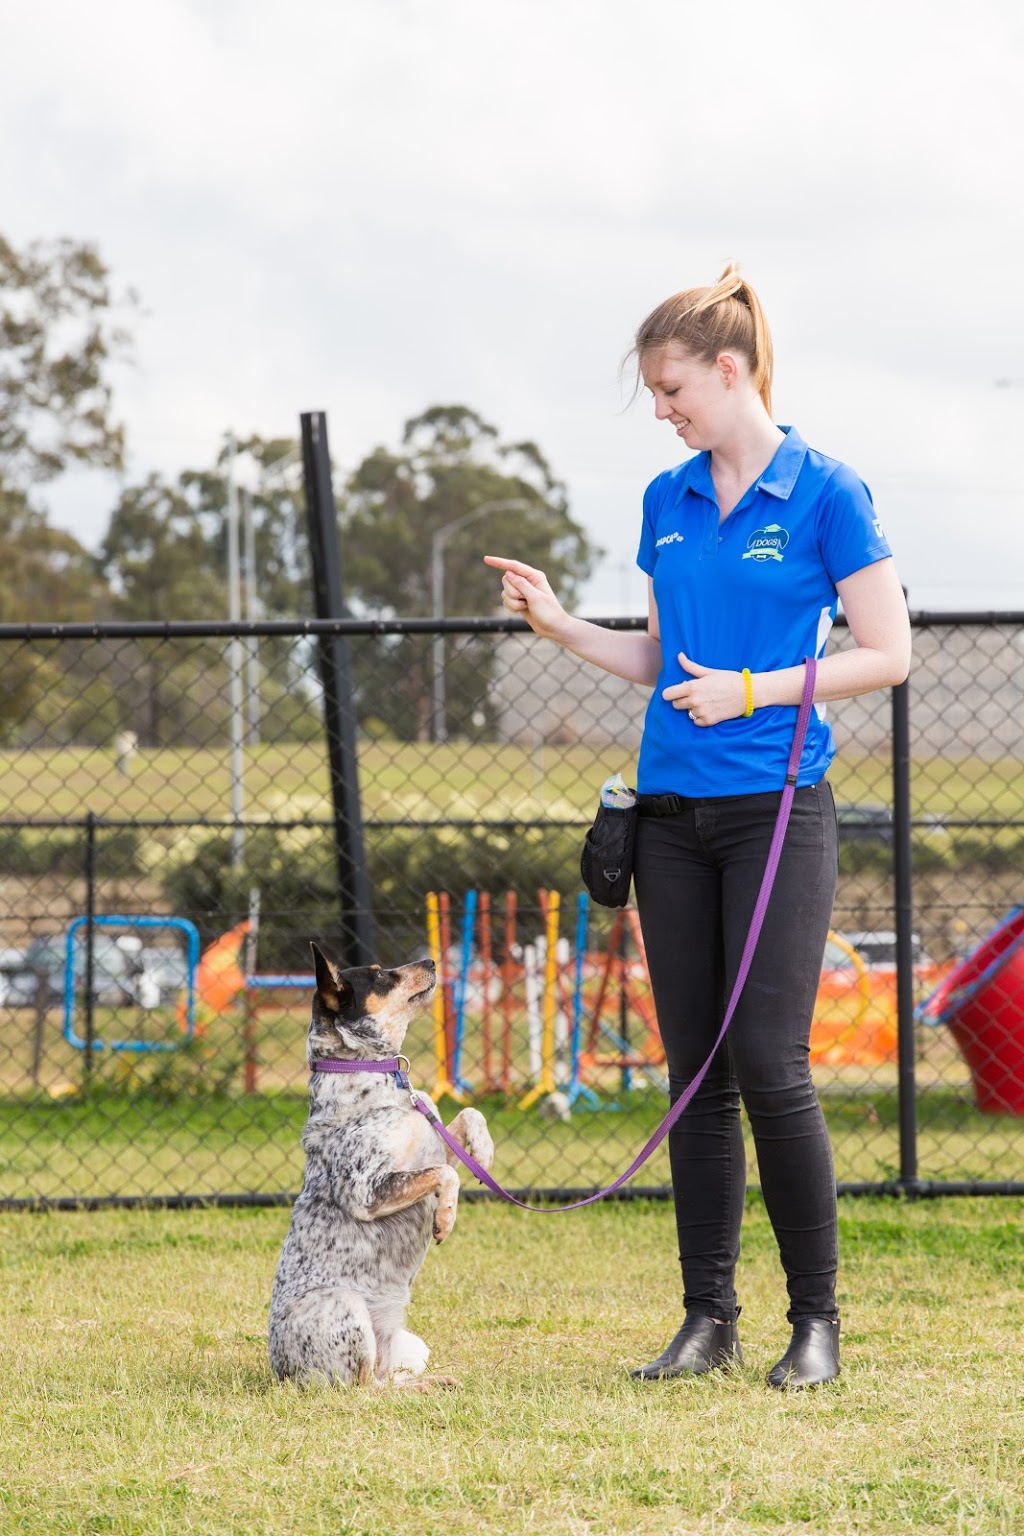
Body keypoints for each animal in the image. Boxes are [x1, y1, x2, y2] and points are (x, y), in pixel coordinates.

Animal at [267, 940, 494, 1388]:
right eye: (380, 975)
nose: (432, 960)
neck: (372, 1074)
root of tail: (281, 1372)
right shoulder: (366, 1191)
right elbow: (445, 1175)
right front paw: (445, 1218)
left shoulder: (432, 1141)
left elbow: (470, 1116)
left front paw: (484, 1152)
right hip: (346, 1305)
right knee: (365, 1389)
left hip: (408, 1344)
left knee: (389, 1381)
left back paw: (432, 1383)